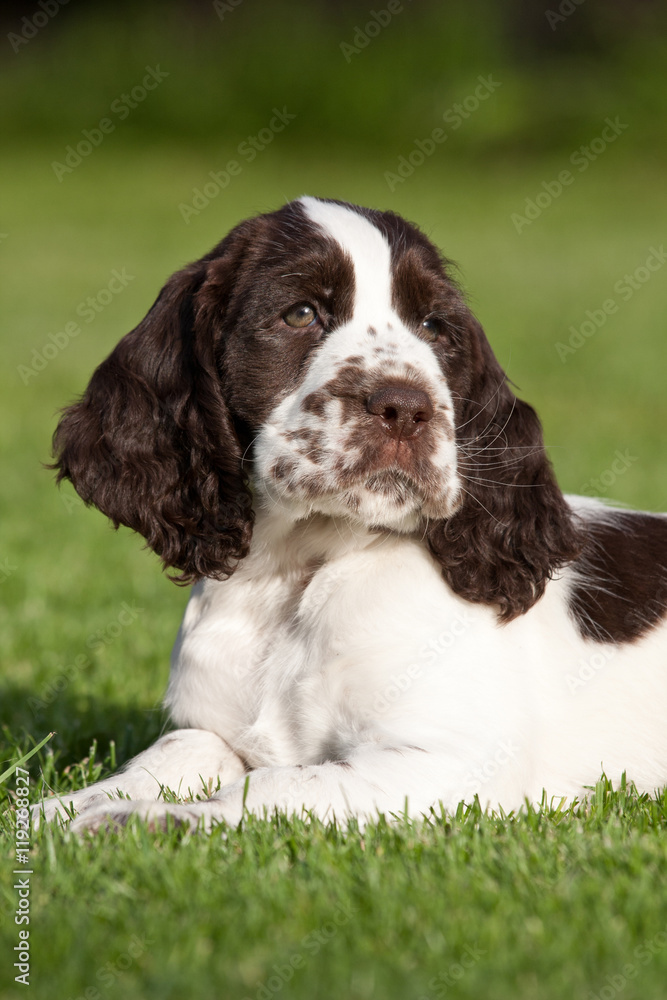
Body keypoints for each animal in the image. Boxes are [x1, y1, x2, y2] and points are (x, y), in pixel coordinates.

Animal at [36, 193, 667, 828]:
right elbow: (173, 750)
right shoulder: (212, 727)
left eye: (435, 326)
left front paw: (148, 820)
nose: (406, 409)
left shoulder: (455, 765)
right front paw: (57, 811)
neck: (299, 572)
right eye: (300, 314)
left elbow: (270, 785)